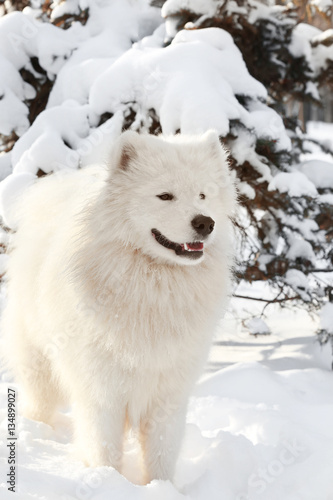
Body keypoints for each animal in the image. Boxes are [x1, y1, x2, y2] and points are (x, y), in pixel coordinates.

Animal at [2, 129, 236, 484]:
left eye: (203, 195)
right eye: (165, 196)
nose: (205, 223)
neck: (153, 285)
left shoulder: (168, 394)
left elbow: (162, 454)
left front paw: (160, 488)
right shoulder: (102, 392)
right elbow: (105, 450)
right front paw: (106, 482)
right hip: (40, 365)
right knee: (39, 403)